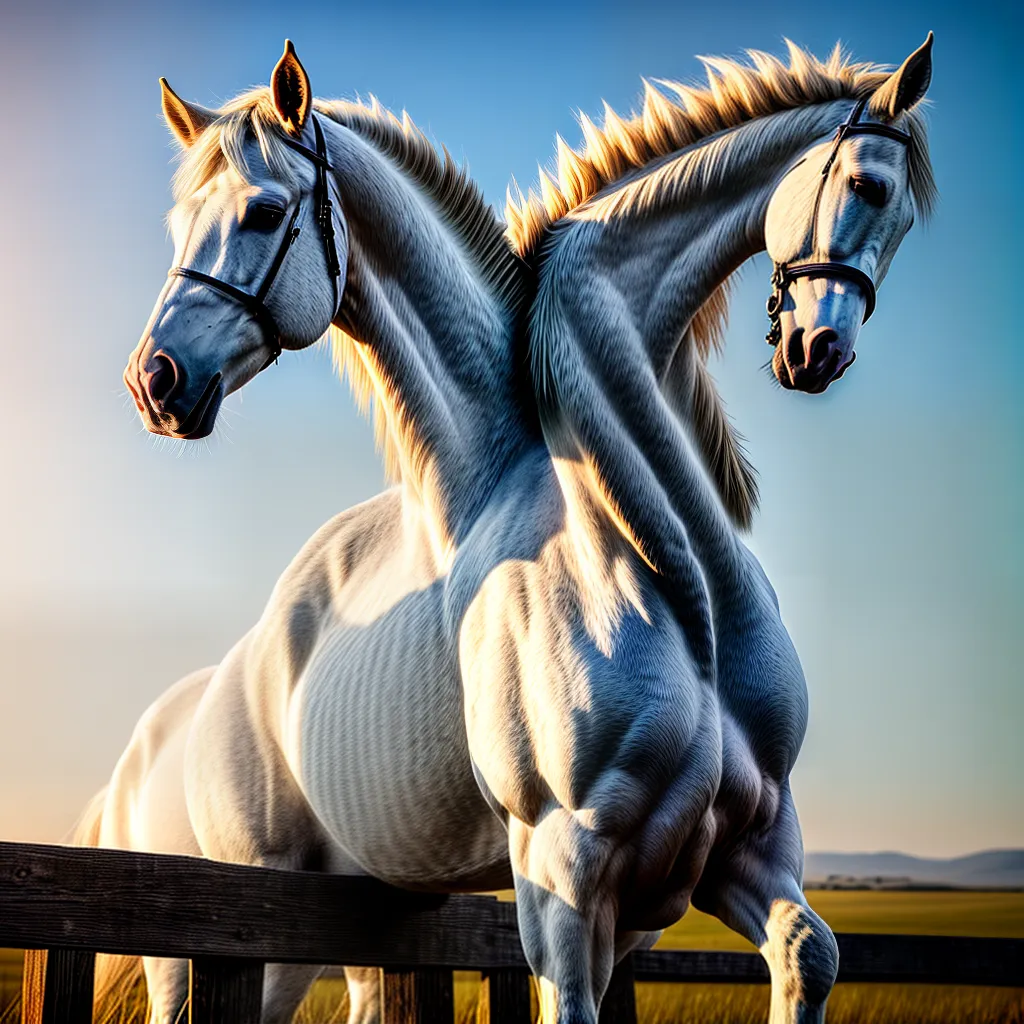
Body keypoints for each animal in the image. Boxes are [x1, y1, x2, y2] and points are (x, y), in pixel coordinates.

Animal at [101, 35, 934, 1024]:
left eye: (264, 210)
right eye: (870, 185)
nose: (155, 379)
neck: (664, 573)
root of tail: (175, 720)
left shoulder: (745, 850)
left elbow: (811, 949)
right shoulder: (562, 869)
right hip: (237, 934)